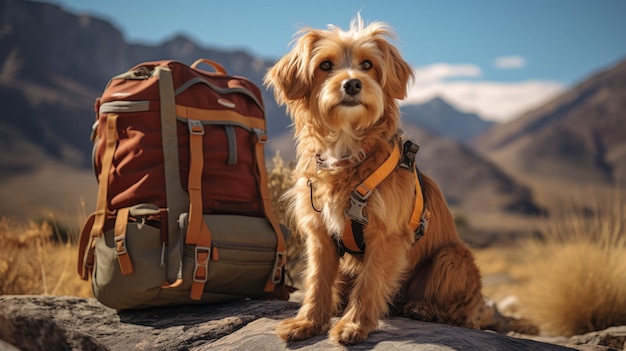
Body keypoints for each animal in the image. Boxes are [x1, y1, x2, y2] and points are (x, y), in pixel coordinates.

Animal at [264, 15, 482, 344]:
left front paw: (353, 326)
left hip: (452, 256)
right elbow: (316, 281)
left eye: (367, 65)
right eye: (325, 65)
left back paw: (425, 309)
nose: (353, 83)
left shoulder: (387, 233)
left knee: (460, 311)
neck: (346, 149)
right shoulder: (320, 233)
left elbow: (369, 283)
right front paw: (307, 322)